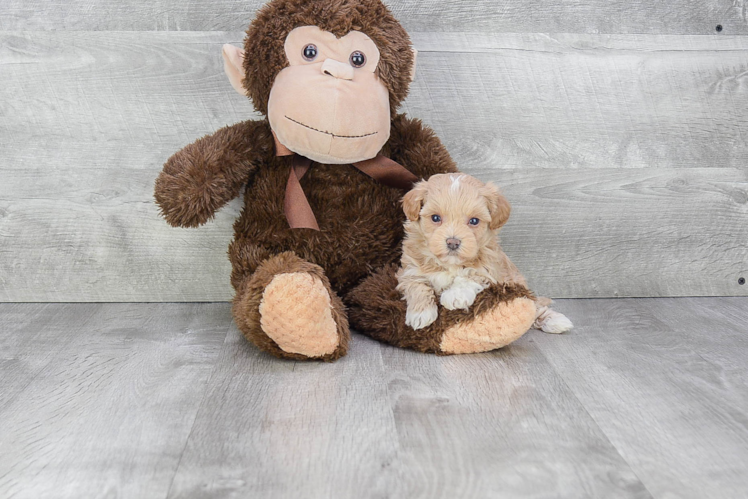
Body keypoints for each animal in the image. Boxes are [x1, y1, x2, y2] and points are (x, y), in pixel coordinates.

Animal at [398, 174, 572, 334]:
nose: (453, 242)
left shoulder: (490, 269)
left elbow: (471, 275)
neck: (450, 264)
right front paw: (420, 314)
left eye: (474, 221)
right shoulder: (409, 270)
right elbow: (417, 285)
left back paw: (555, 320)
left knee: (535, 307)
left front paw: (455, 296)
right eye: (435, 218)